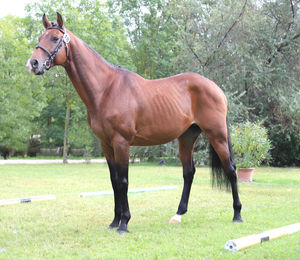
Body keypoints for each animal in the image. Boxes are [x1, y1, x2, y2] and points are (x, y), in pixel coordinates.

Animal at [27, 12, 243, 234]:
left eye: (54, 38)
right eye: (40, 38)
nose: (33, 63)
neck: (106, 89)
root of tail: (216, 88)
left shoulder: (121, 142)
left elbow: (123, 181)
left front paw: (124, 223)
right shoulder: (106, 145)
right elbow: (114, 181)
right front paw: (114, 221)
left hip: (217, 135)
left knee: (231, 169)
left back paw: (237, 214)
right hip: (186, 137)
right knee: (189, 172)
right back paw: (178, 215)